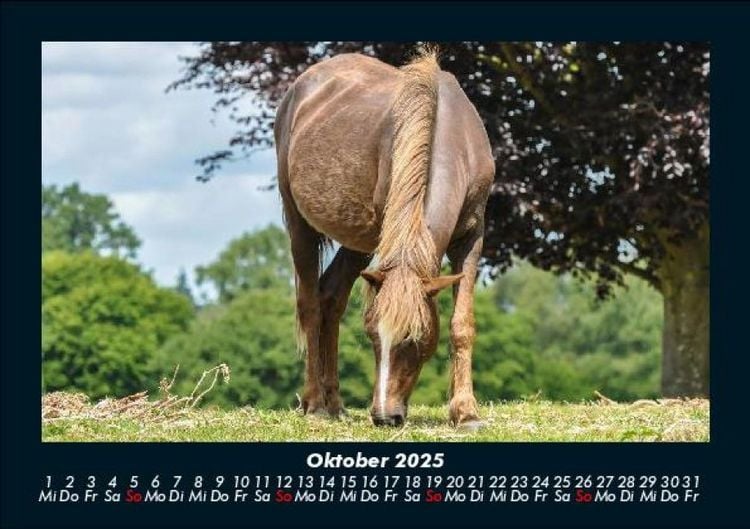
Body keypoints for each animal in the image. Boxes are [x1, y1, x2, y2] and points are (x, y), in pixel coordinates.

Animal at [274, 49, 495, 427]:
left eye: (416, 337)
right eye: (372, 335)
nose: (384, 416)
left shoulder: (471, 238)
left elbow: (461, 323)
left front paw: (466, 412)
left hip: (356, 242)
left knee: (331, 297)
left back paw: (335, 403)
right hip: (300, 224)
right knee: (310, 303)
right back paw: (316, 403)